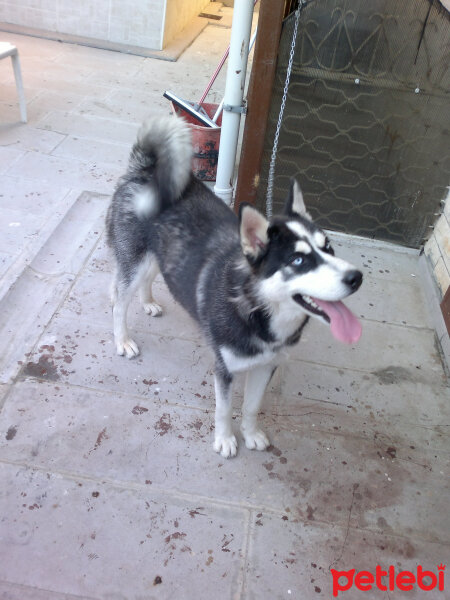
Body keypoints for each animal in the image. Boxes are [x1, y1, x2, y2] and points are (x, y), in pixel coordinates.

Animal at [105, 115, 362, 458]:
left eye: (329, 248)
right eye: (298, 260)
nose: (356, 277)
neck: (257, 310)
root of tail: (144, 170)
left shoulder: (266, 366)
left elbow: (252, 406)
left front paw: (250, 433)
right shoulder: (224, 368)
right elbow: (224, 409)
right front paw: (225, 439)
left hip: (158, 256)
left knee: (146, 278)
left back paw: (147, 301)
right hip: (135, 259)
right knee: (119, 300)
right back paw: (122, 339)